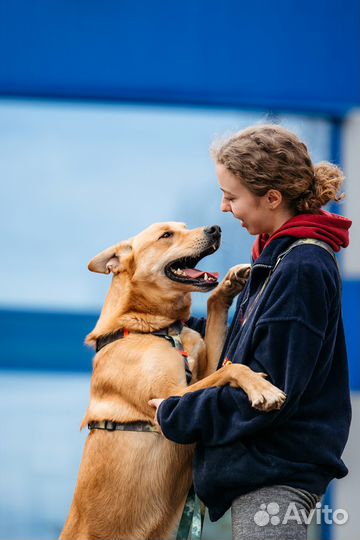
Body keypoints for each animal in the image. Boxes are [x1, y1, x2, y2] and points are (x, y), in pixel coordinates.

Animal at [60, 223, 286, 540]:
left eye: (184, 227)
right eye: (166, 235)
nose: (215, 228)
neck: (157, 328)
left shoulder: (199, 374)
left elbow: (218, 331)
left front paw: (229, 284)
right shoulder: (169, 398)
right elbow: (232, 369)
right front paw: (261, 388)